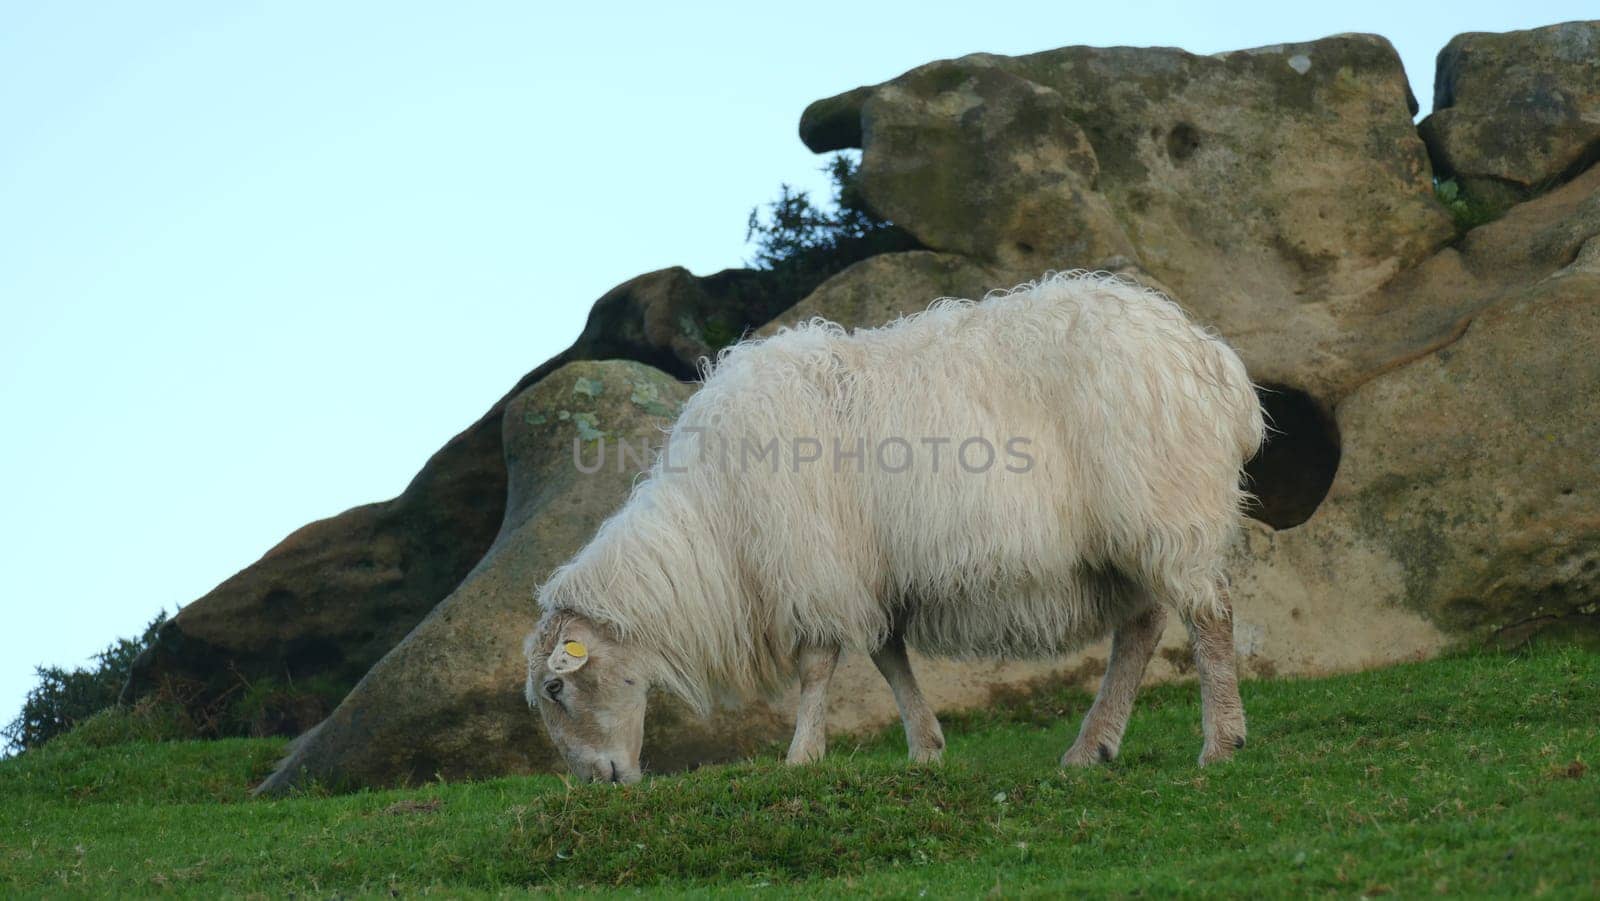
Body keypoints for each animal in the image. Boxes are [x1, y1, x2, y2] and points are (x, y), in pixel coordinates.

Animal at [524, 273, 1260, 784]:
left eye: (557, 687)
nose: (599, 782)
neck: (714, 524)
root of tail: (1212, 358)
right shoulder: (870, 574)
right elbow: (887, 656)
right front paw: (925, 747)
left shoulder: (814, 562)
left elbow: (817, 665)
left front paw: (802, 755)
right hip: (1123, 537)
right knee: (1140, 628)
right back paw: (1092, 747)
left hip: (1165, 507)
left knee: (1211, 615)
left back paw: (1220, 743)